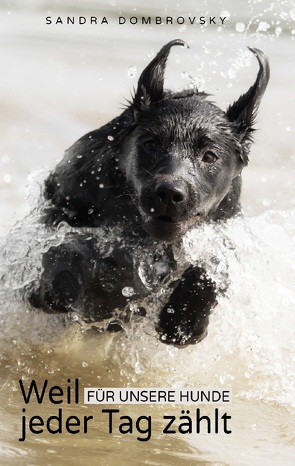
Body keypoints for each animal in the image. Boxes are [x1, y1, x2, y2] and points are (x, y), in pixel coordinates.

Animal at [28, 40, 270, 346]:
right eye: (152, 143)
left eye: (210, 155)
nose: (170, 193)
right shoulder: (65, 199)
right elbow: (64, 246)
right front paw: (64, 284)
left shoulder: (225, 223)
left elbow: (212, 261)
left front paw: (184, 319)